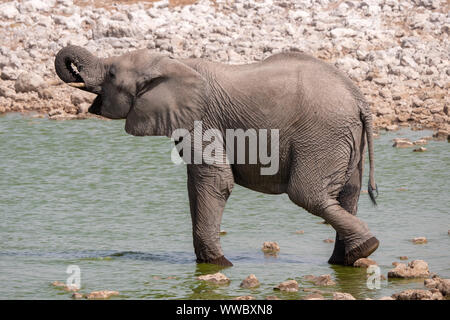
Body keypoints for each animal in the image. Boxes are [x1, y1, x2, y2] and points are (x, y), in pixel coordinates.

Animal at [55, 45, 380, 268]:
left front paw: (218, 264)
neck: (173, 62)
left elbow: (215, 180)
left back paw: (367, 247)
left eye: (111, 74)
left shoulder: (203, 119)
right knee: (348, 195)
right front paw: (208, 264)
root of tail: (359, 98)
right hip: (344, 139)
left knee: (307, 194)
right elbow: (196, 183)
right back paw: (346, 261)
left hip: (322, 136)